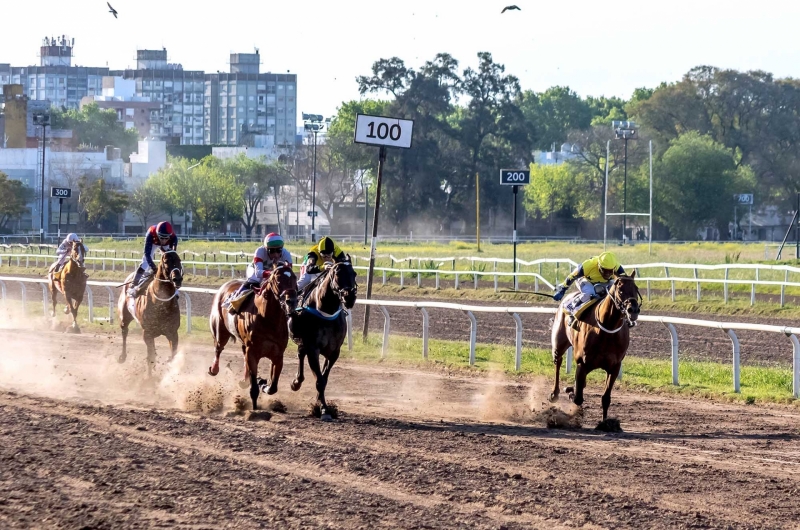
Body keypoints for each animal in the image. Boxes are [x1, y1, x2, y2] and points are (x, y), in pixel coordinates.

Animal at [208, 262, 298, 410]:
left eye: (295, 278)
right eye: (278, 279)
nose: (291, 301)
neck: (268, 319)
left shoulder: (278, 354)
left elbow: (273, 387)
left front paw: (263, 384)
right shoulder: (253, 352)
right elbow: (254, 388)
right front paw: (254, 408)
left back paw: (245, 380)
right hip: (220, 330)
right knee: (218, 348)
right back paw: (214, 369)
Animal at [290, 258, 358, 418]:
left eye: (354, 273)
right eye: (337, 273)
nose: (349, 297)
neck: (326, 312)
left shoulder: (334, 351)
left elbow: (324, 378)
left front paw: (321, 404)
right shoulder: (313, 348)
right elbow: (319, 380)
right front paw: (324, 409)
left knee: (301, 352)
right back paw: (296, 382)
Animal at [548, 270, 640, 418]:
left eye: (636, 289)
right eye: (620, 290)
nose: (633, 309)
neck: (607, 328)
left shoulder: (615, 367)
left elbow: (606, 398)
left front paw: (605, 421)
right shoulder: (582, 363)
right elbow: (578, 398)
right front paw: (571, 392)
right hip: (559, 344)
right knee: (558, 362)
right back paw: (554, 394)